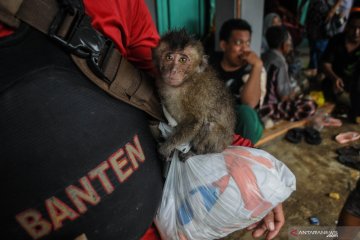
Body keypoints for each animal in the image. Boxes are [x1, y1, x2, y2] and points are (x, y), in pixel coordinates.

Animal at [153, 29, 235, 159]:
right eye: (169, 57)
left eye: (182, 60)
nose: (173, 70)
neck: (186, 82)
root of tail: (225, 145)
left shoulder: (196, 94)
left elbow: (195, 121)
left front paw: (166, 147)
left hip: (219, 144)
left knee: (210, 126)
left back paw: (195, 152)